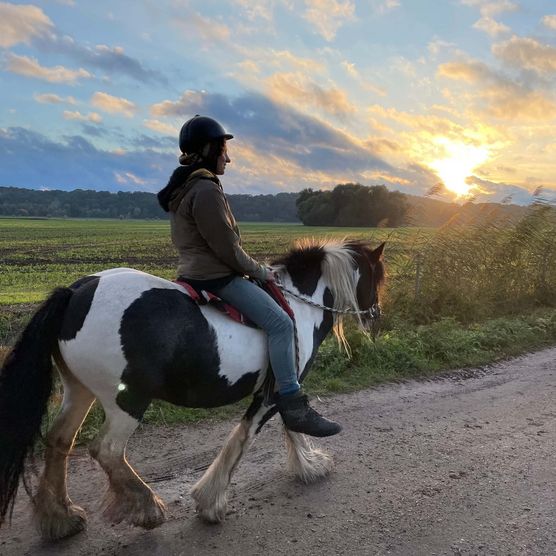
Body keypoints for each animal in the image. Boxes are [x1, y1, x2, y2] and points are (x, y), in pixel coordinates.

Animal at [0, 238, 382, 540]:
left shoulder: (280, 391)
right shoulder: (277, 390)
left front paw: (309, 465)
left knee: (59, 440)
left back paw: (60, 519)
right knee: (106, 450)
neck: (298, 305)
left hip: (79, 391)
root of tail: (77, 293)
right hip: (127, 400)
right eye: (377, 276)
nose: (375, 315)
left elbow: (290, 427)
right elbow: (245, 437)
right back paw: (147, 509)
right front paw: (211, 503)